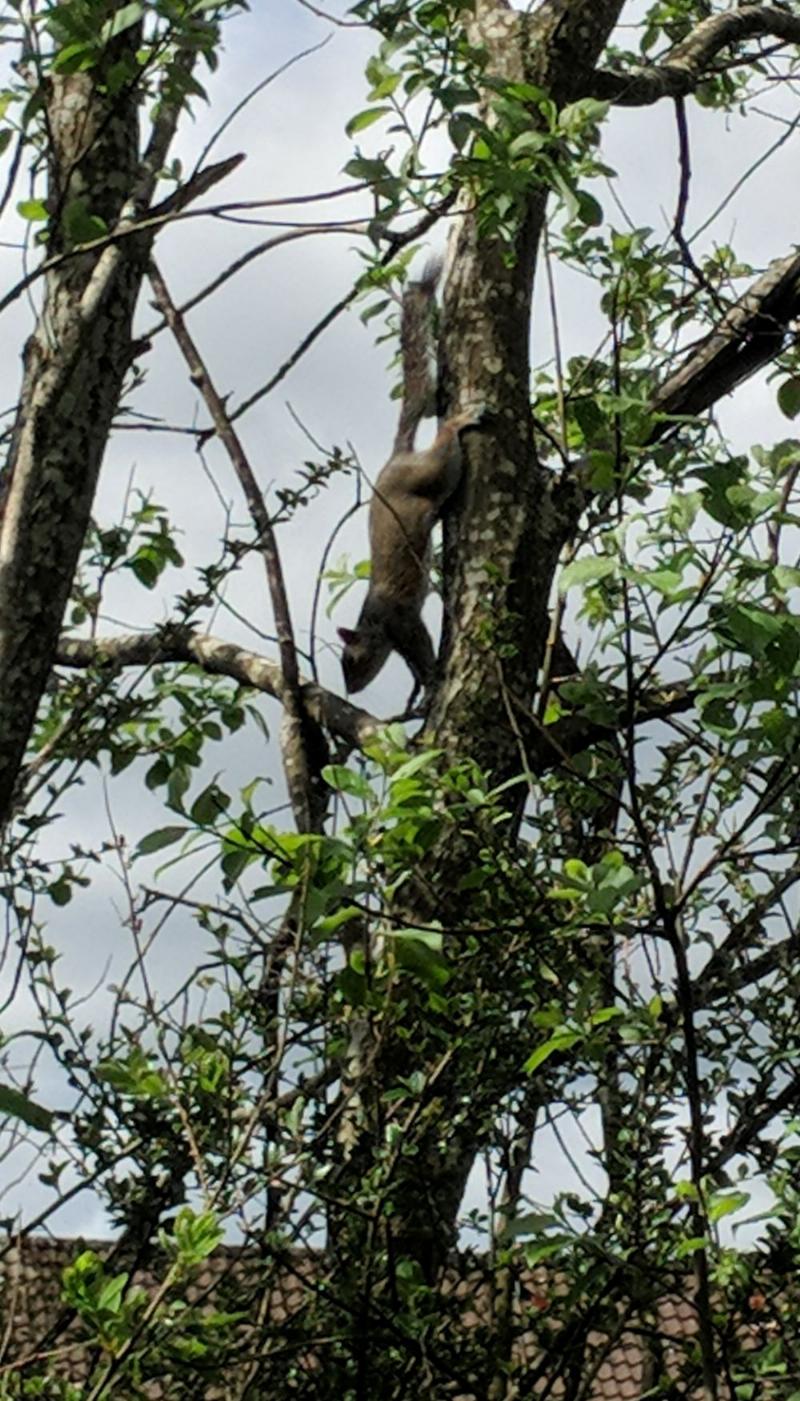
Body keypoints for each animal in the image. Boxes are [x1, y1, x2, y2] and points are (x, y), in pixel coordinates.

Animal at [337, 259, 482, 709]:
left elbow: (421, 646)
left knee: (445, 448)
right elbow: (413, 661)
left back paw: (461, 419)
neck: (374, 623)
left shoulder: (402, 620)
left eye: (351, 660)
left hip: (435, 471)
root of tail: (398, 458)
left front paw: (433, 676)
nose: (349, 691)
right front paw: (424, 682)